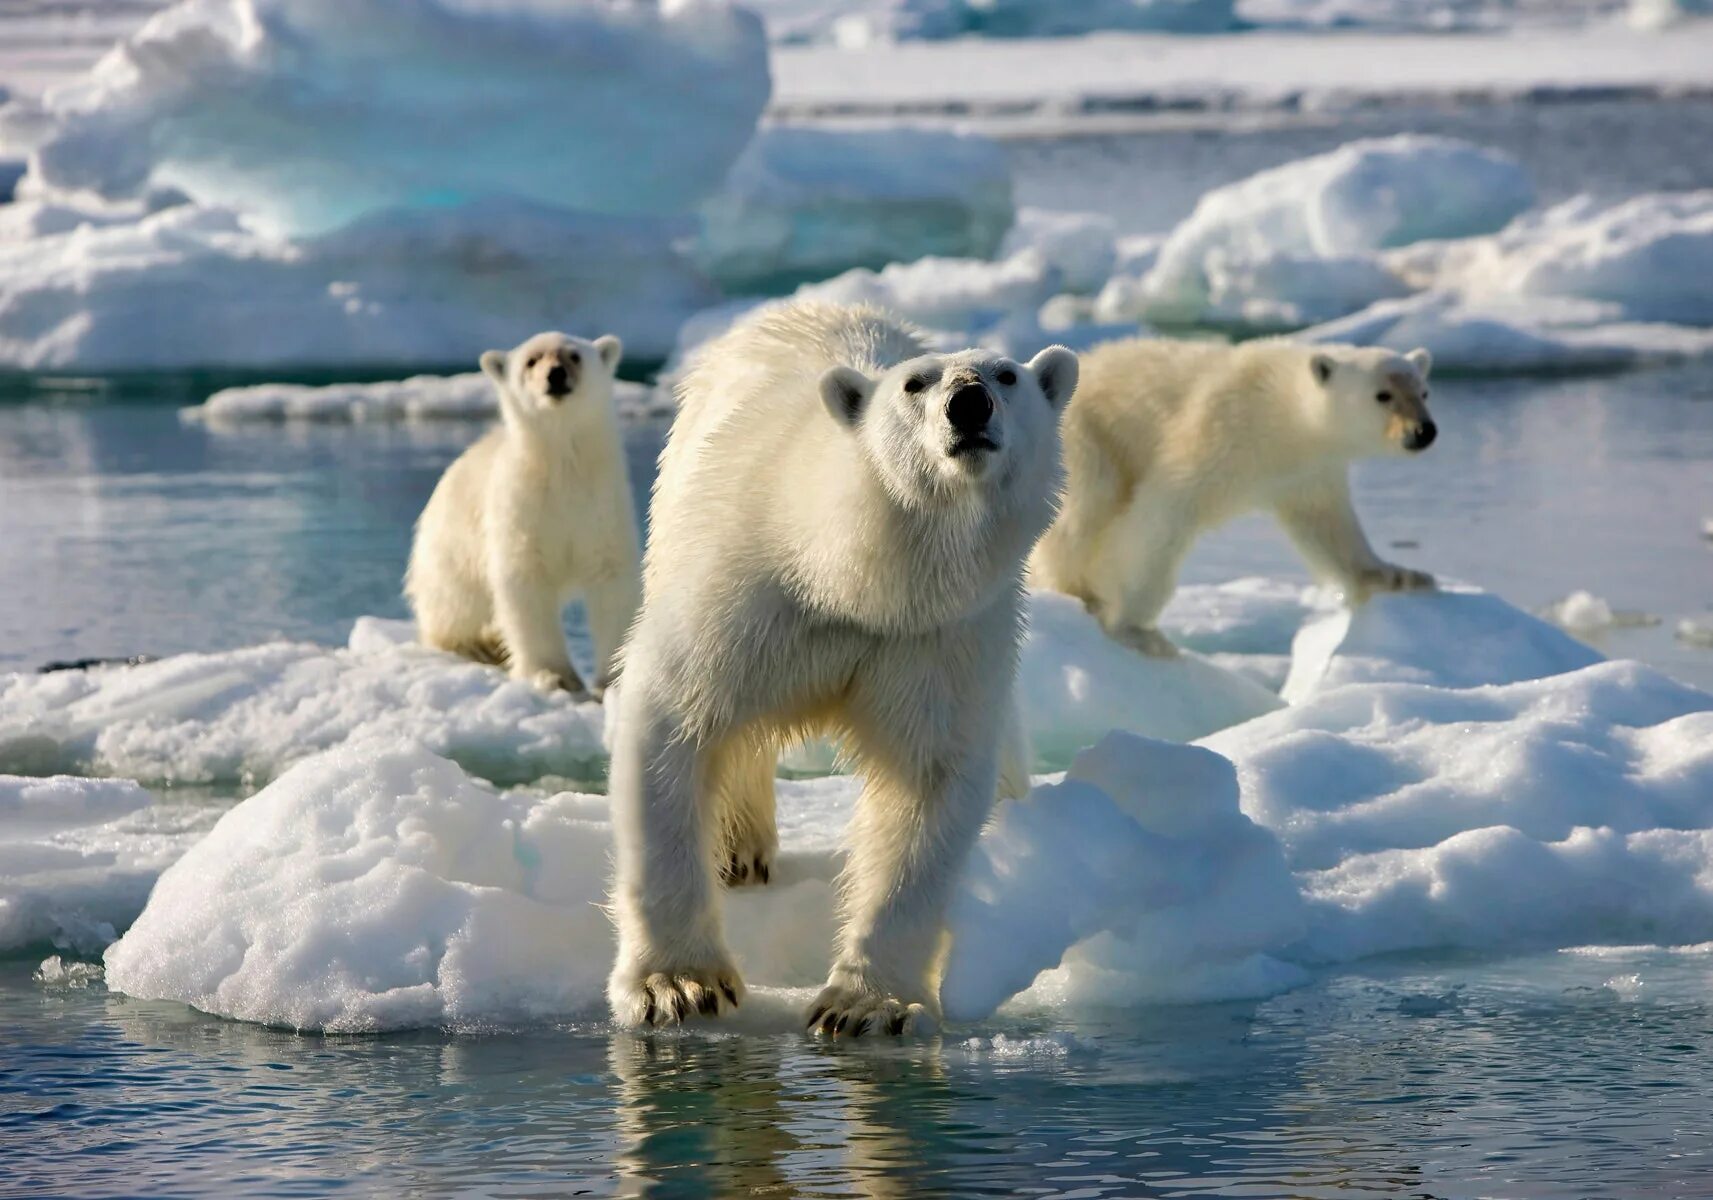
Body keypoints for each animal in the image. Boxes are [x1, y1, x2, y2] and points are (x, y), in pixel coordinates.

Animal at [609, 299, 1075, 1027]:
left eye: (1006, 375)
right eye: (914, 384)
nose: (969, 403)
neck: (849, 579)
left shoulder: (938, 636)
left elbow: (927, 780)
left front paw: (865, 1004)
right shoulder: (746, 596)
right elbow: (674, 723)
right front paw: (677, 985)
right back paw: (737, 851)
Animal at [1034, 337, 1438, 653]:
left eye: (1423, 392)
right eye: (1383, 395)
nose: (1424, 431)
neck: (1281, 413)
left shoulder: (1308, 472)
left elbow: (1329, 526)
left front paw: (1401, 577)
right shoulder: (1218, 431)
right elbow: (1161, 515)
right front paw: (1134, 628)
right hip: (1085, 438)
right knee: (1083, 511)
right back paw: (1075, 590)